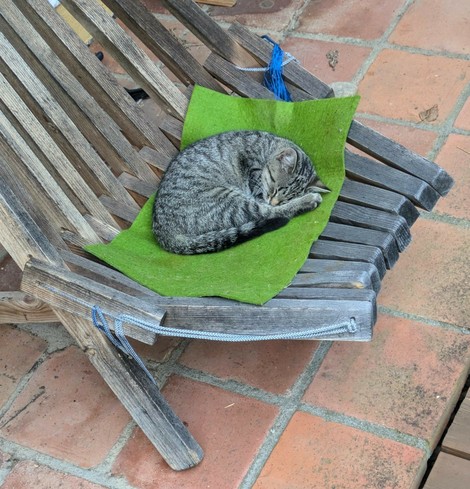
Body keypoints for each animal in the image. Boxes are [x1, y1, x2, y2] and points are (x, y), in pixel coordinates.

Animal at [152, 129, 328, 255]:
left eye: (284, 197)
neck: (266, 147)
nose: (274, 201)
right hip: (230, 200)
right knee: (270, 213)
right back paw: (309, 200)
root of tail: (163, 233)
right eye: (275, 189)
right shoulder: (255, 179)